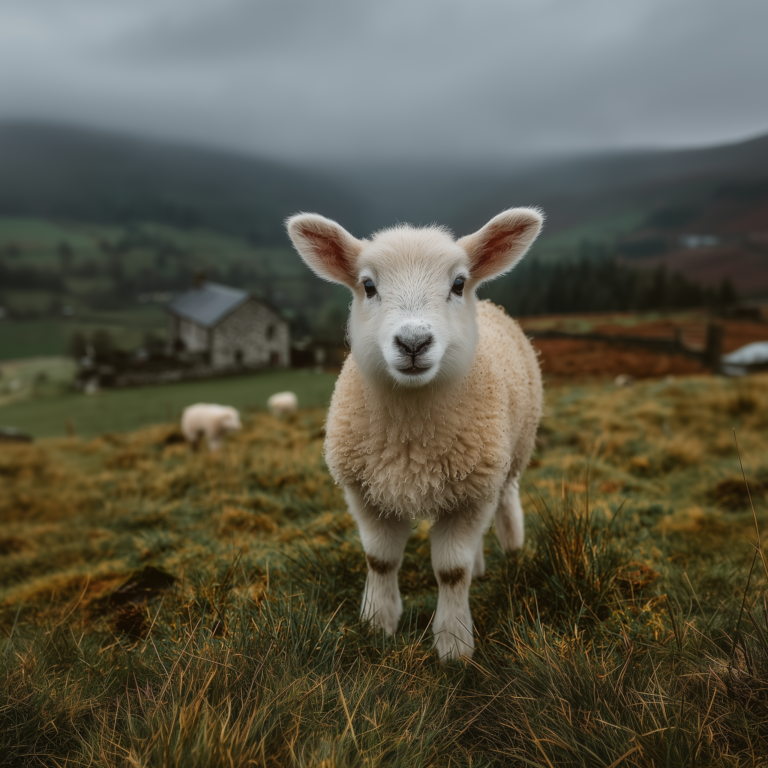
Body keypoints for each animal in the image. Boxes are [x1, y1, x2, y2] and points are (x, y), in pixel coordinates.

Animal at [287, 207, 544, 661]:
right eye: (368, 286)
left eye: (458, 284)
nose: (413, 342)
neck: (412, 434)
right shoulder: (365, 491)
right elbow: (380, 560)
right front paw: (378, 624)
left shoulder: (473, 492)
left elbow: (451, 571)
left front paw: (454, 644)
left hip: (509, 457)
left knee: (506, 501)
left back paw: (513, 550)